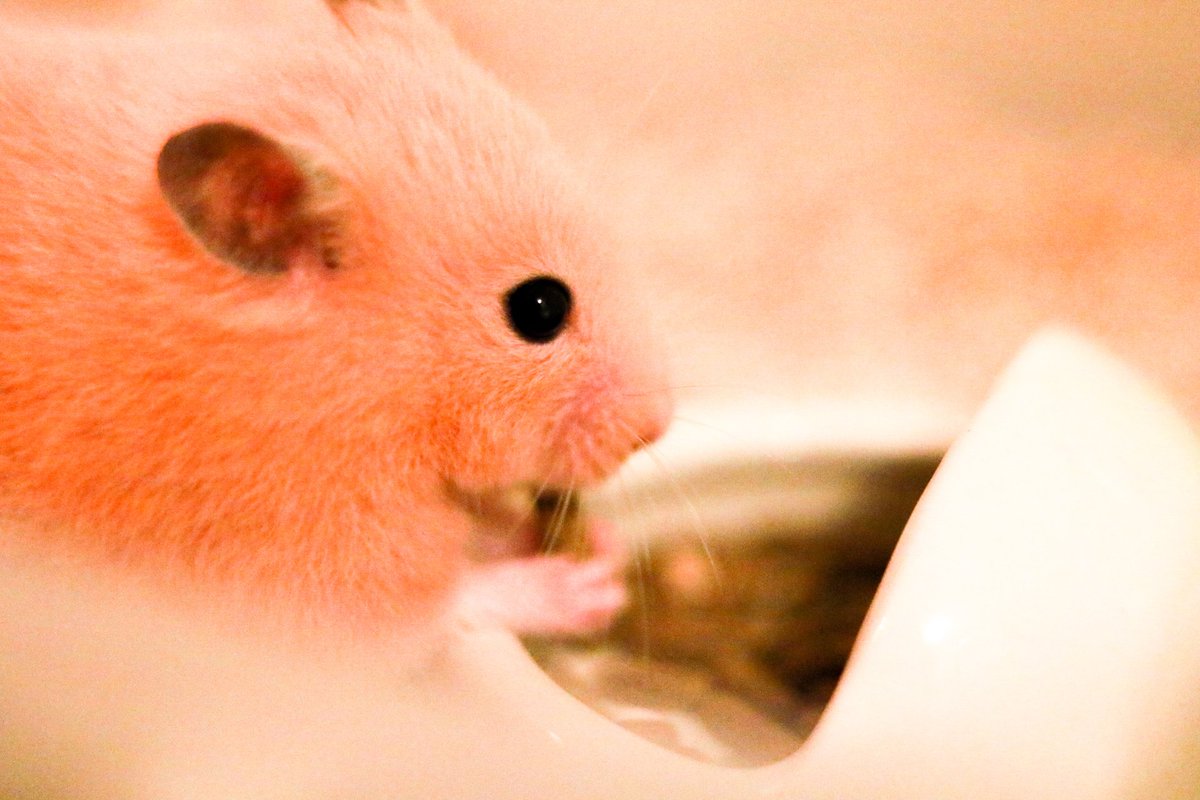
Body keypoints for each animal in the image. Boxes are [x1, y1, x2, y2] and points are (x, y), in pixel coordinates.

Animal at [0, 1, 672, 639]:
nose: (653, 430)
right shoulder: (305, 556)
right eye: (539, 308)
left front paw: (602, 544)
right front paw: (587, 589)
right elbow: (448, 602)